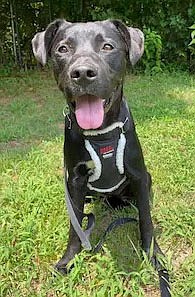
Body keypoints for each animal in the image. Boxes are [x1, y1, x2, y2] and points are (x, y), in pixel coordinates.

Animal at [32, 19, 170, 294]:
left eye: (107, 46)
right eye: (63, 49)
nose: (83, 73)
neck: (100, 133)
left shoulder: (138, 174)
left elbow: (146, 221)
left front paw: (153, 255)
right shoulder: (74, 180)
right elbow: (75, 227)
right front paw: (68, 260)